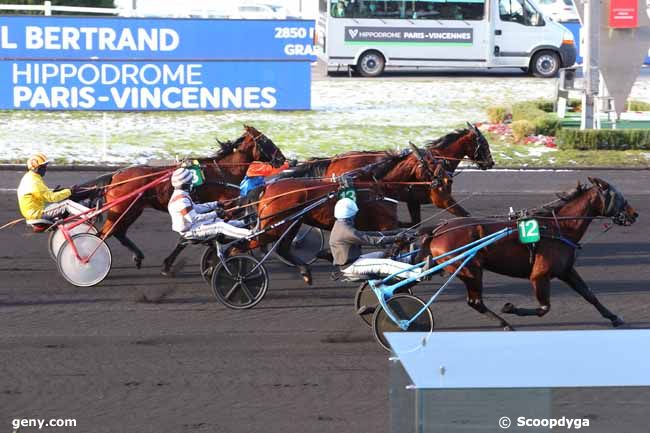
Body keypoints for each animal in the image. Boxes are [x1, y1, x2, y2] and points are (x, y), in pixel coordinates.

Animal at [94, 124, 284, 270]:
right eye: (266, 141)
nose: (282, 159)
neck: (225, 172)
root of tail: (115, 176)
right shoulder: (225, 206)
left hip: (132, 210)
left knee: (118, 232)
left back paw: (138, 257)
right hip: (122, 209)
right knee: (102, 235)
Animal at [230, 147, 454, 286]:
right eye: (431, 163)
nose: (445, 180)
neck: (376, 184)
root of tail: (267, 188)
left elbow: (407, 231)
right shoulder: (385, 224)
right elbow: (396, 240)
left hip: (292, 223)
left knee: (283, 248)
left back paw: (305, 272)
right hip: (276, 225)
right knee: (242, 246)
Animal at [418, 177, 636, 330]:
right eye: (618, 196)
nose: (634, 214)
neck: (558, 228)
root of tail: (437, 231)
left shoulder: (566, 271)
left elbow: (589, 294)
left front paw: (615, 317)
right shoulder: (540, 275)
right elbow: (544, 308)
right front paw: (510, 308)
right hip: (470, 269)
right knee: (475, 301)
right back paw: (505, 323)